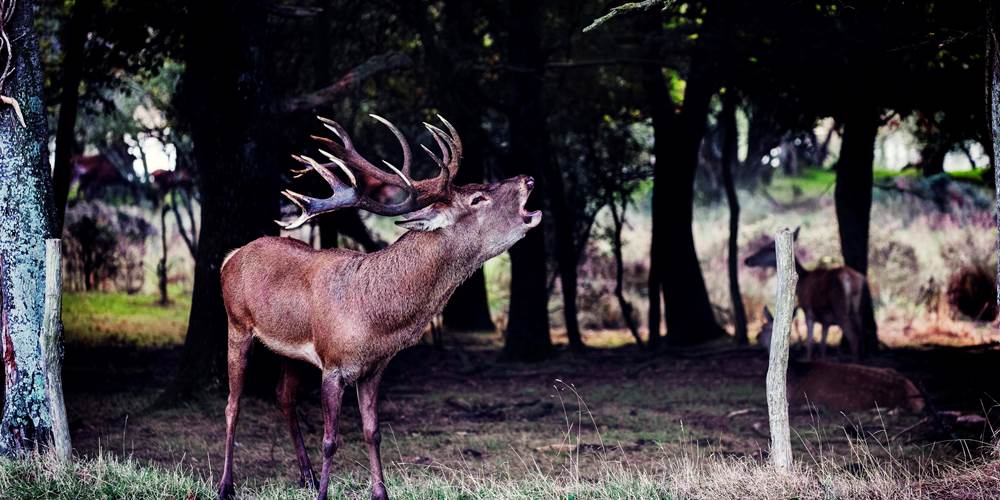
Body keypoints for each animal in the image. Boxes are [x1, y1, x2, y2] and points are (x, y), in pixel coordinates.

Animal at [216, 114, 542, 500]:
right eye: (477, 197)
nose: (528, 178)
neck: (375, 317)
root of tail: (231, 256)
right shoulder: (333, 364)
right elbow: (330, 440)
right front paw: (324, 494)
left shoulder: (373, 369)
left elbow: (373, 432)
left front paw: (379, 492)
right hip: (237, 324)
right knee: (232, 404)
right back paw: (226, 485)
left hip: (287, 349)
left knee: (283, 397)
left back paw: (305, 476)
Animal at [744, 228, 869, 361]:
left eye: (770, 247)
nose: (747, 260)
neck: (802, 282)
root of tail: (852, 278)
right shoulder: (825, 321)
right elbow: (822, 346)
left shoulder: (808, 311)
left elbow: (810, 344)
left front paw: (808, 359)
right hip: (858, 311)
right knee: (860, 335)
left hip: (840, 308)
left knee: (854, 338)